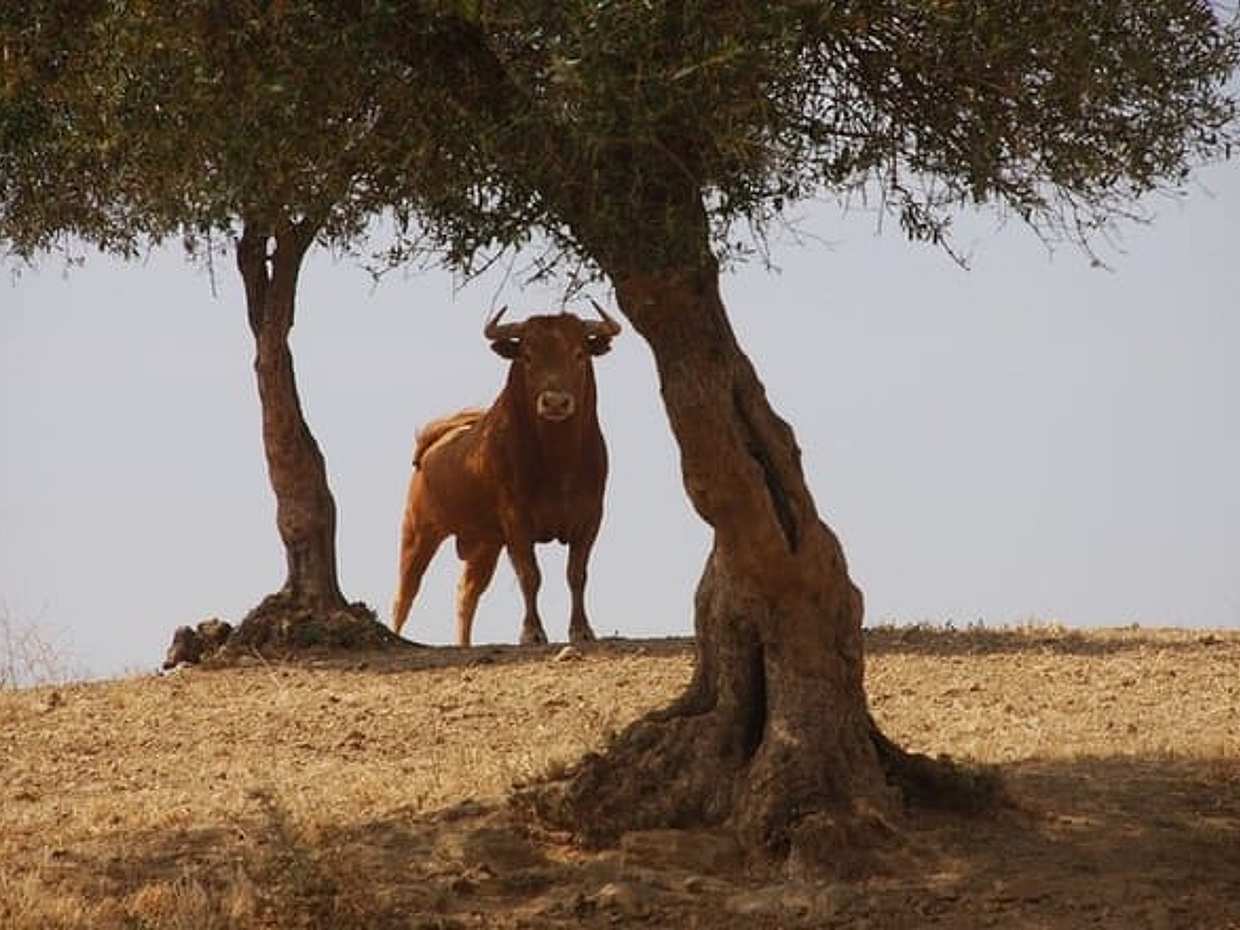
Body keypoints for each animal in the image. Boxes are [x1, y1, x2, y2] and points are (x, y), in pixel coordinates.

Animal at [391, 303, 622, 647]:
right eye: (527, 355)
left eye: (579, 353)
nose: (555, 402)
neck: (559, 461)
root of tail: (434, 442)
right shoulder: (516, 522)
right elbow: (530, 575)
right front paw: (532, 632)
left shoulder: (590, 518)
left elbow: (576, 574)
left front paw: (582, 630)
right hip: (418, 532)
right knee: (404, 595)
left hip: (485, 544)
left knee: (467, 593)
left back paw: (464, 645)